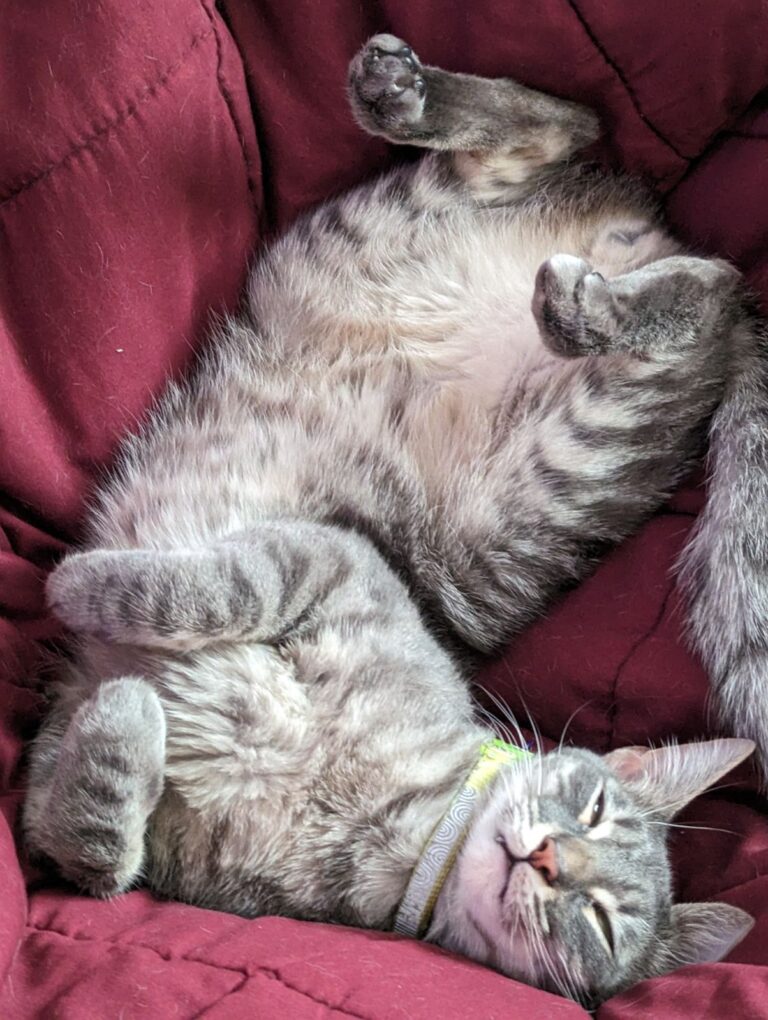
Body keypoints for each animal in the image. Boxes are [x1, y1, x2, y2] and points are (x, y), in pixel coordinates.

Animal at [23, 35, 762, 1007]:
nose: (547, 861)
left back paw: (581, 287)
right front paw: (89, 590)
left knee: (701, 269)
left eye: (601, 922)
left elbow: (98, 848)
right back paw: (415, 107)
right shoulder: (335, 561)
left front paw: (122, 706)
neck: (389, 825)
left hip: (582, 442)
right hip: (371, 237)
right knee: (593, 150)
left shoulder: (113, 838)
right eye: (595, 808)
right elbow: (208, 592)